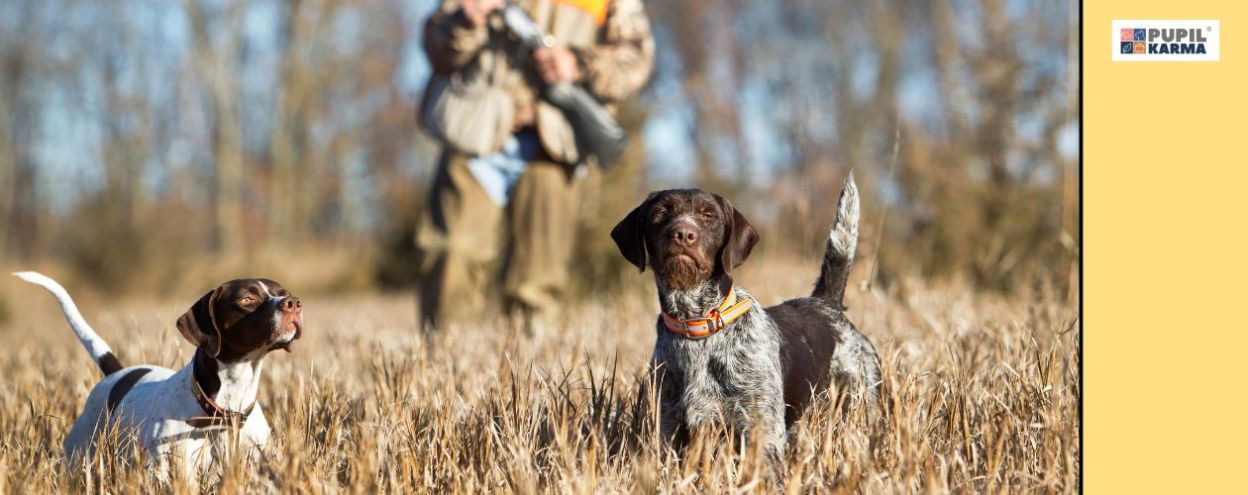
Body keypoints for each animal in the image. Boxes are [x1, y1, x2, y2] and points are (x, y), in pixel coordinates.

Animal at [15, 271, 302, 476]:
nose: (294, 303)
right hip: (79, 457)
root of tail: (117, 374)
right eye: (247, 299)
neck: (223, 412)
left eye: (283, 293)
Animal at [611, 173, 883, 456]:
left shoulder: (762, 433)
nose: (683, 234)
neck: (696, 325)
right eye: (661, 212)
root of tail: (826, 303)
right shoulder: (667, 432)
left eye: (708, 215)